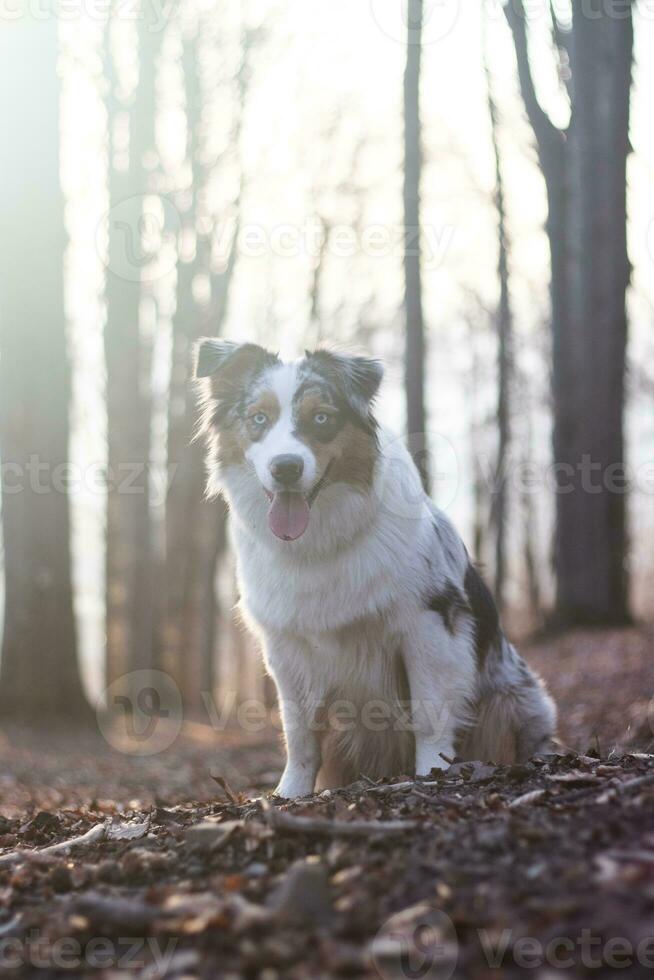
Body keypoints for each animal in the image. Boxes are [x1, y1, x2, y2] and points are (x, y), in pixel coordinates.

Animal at [196, 340, 560, 800]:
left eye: (322, 418)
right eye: (258, 419)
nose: (285, 467)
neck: (320, 539)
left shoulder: (429, 624)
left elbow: (429, 714)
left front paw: (431, 773)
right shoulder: (285, 644)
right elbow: (299, 733)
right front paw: (290, 792)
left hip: (518, 699)